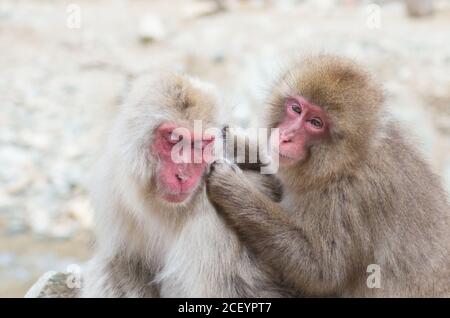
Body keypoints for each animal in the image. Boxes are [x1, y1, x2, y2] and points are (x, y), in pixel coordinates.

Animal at [81, 73, 286, 296]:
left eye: (201, 144)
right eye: (174, 139)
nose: (182, 175)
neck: (168, 210)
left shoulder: (212, 227)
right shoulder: (114, 192)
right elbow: (124, 264)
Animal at [207, 55, 450, 298]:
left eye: (316, 122)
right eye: (296, 108)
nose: (285, 136)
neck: (345, 163)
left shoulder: (351, 199)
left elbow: (321, 270)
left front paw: (232, 187)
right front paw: (234, 145)